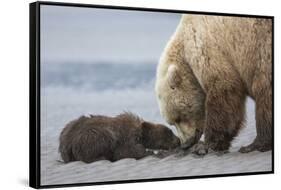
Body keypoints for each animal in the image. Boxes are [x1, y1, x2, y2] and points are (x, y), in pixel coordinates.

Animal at [155, 14, 272, 154]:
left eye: (179, 118)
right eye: (172, 122)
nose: (185, 144)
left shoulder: (207, 47)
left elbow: (224, 91)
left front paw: (207, 145)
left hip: (263, 49)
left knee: (264, 91)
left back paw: (255, 144)